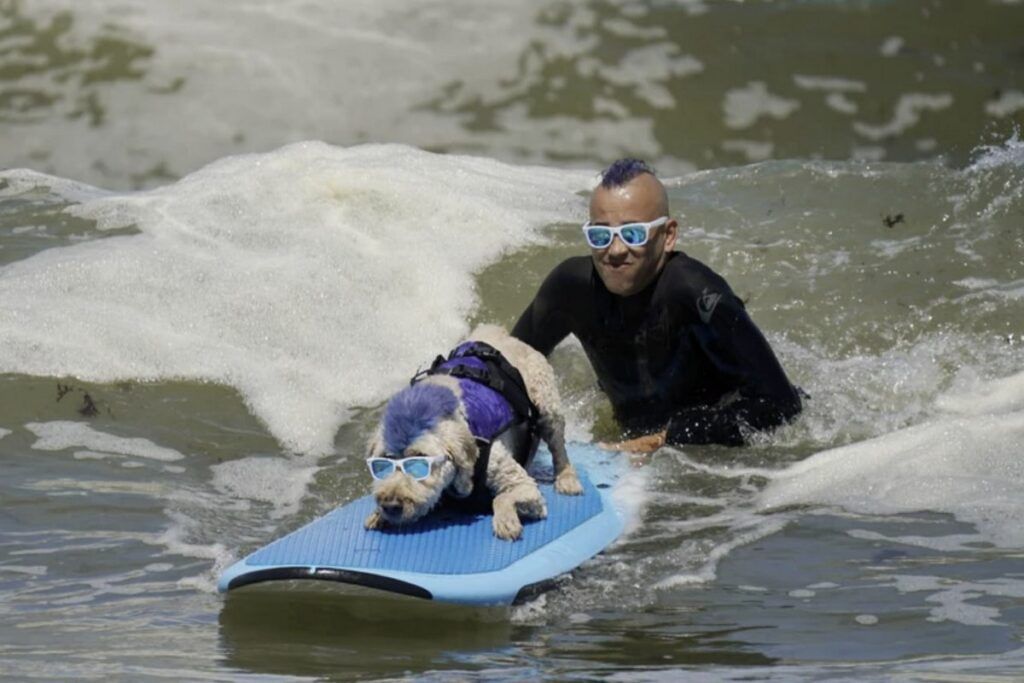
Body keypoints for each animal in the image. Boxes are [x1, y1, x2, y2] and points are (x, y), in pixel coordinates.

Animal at [364, 323, 581, 540]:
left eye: (419, 461)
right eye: (383, 461)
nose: (390, 506)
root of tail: (504, 335)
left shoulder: (523, 485)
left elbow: (502, 497)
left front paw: (506, 520)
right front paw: (377, 514)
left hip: (545, 400)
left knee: (557, 442)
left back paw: (567, 479)